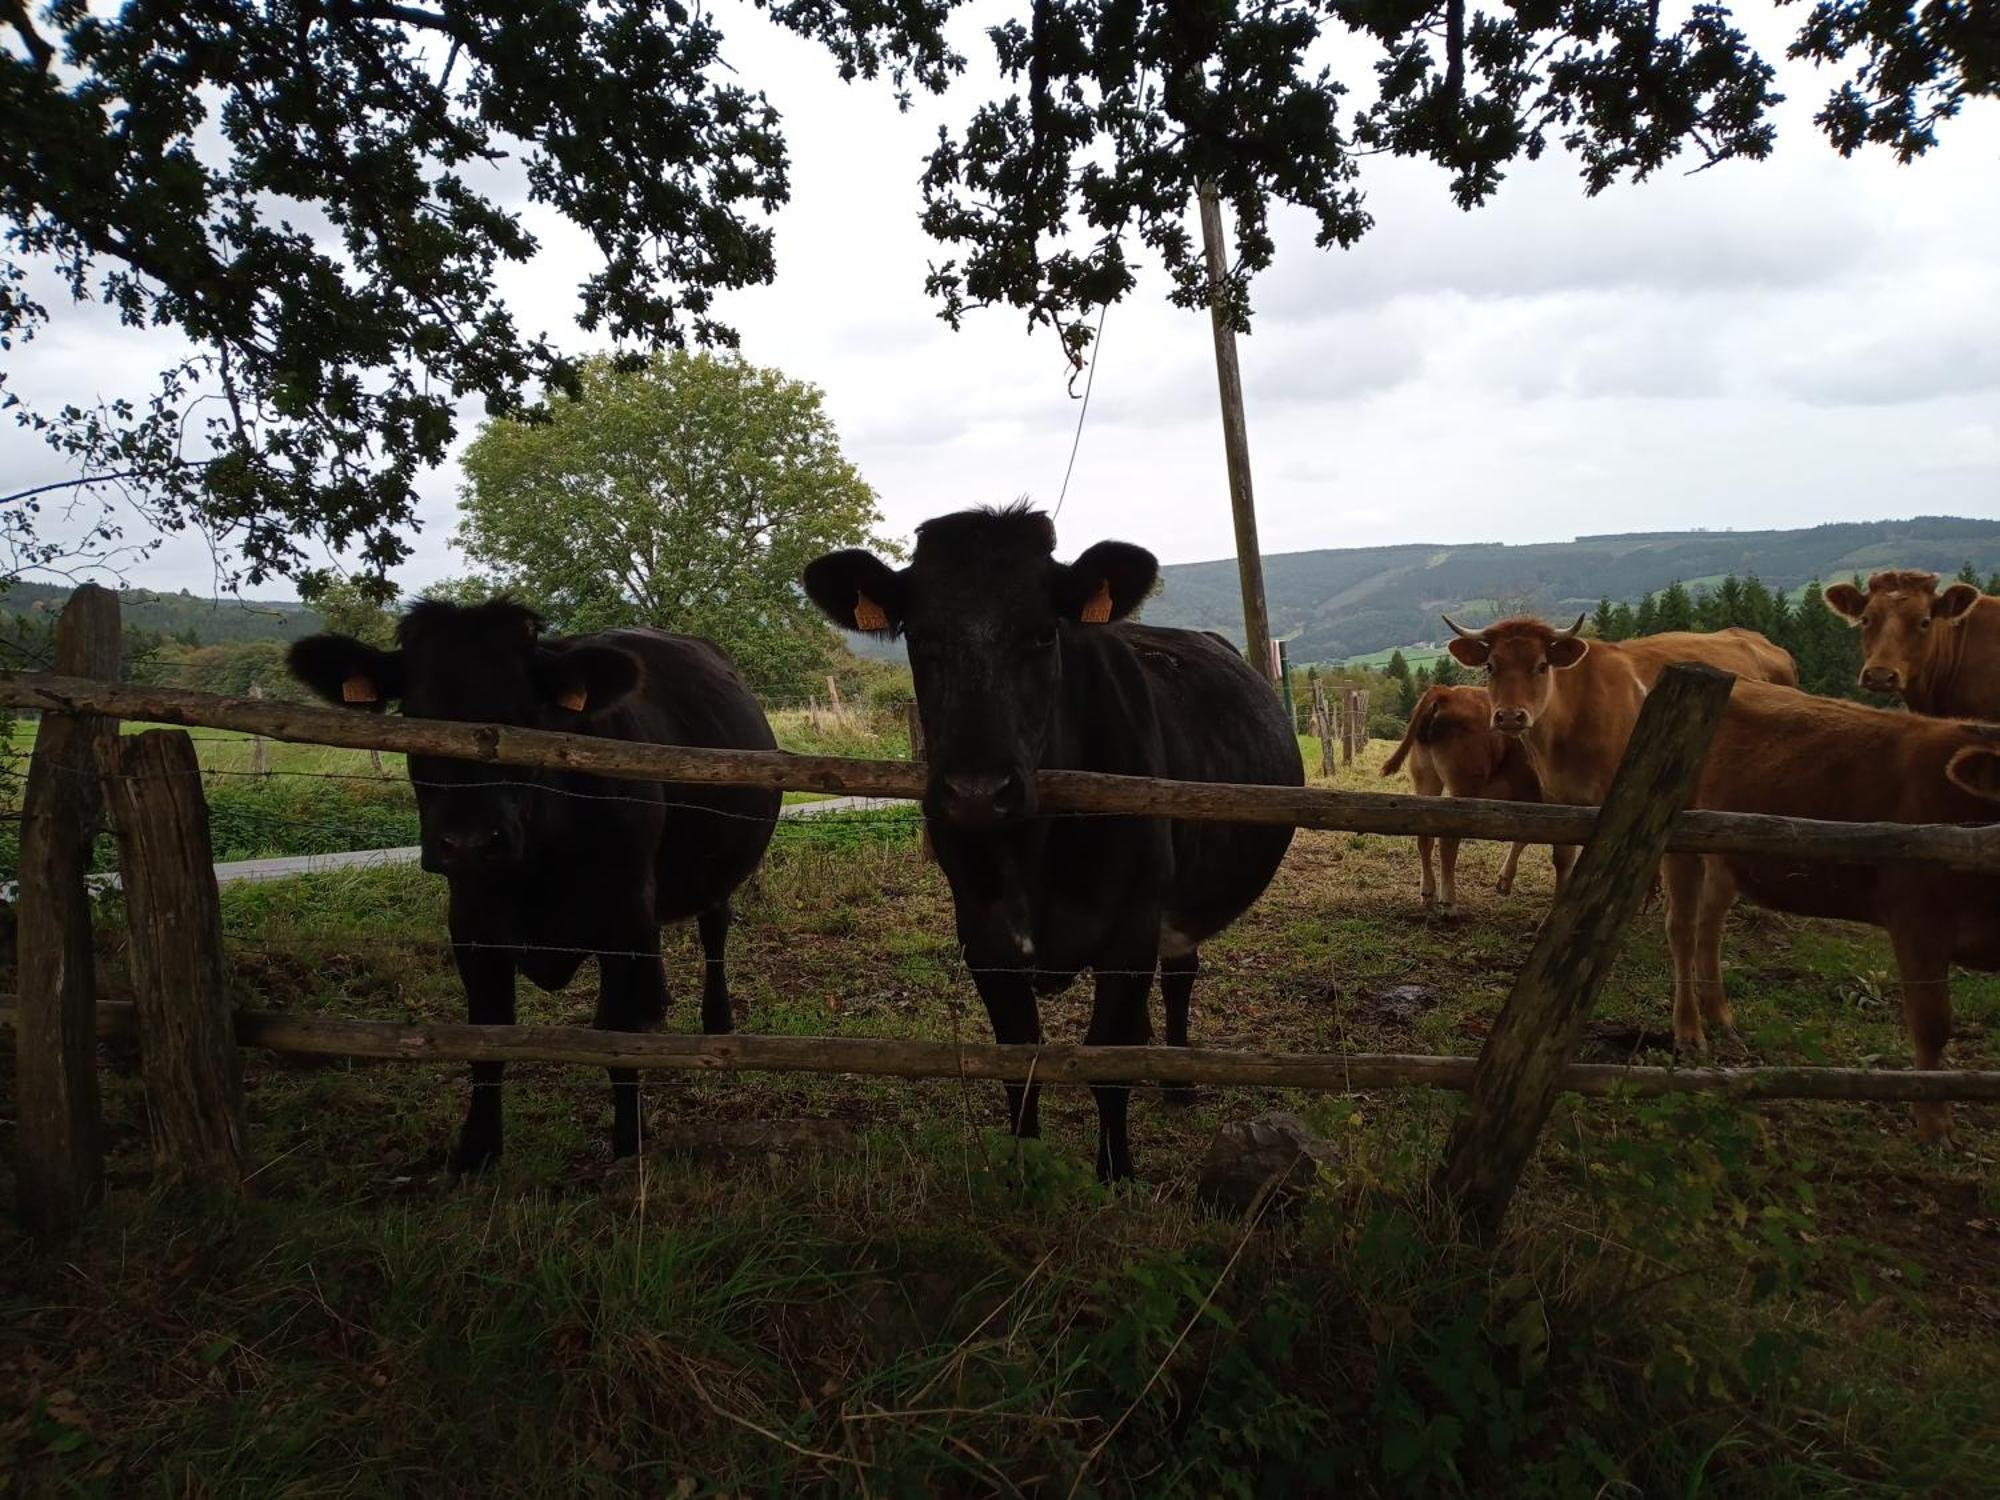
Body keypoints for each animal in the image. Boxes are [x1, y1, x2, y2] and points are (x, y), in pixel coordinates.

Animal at [290, 600, 780, 1176]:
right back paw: (656, 1008)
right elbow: (487, 1034)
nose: (470, 842)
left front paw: (629, 1141)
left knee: (714, 930)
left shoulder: (620, 916)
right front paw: (476, 1148)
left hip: (711, 872)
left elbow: (614, 1035)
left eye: (527, 715)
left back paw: (717, 1024)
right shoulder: (472, 923)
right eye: (415, 715)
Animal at [804, 512, 1304, 1184]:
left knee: (1179, 976)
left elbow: (1108, 1059)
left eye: (1044, 635)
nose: (977, 791)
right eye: (920, 636)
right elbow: (1018, 1058)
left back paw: (1176, 1081)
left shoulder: (1130, 930)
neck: (1032, 855)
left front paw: (1116, 1173)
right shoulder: (982, 935)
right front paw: (1021, 1164)